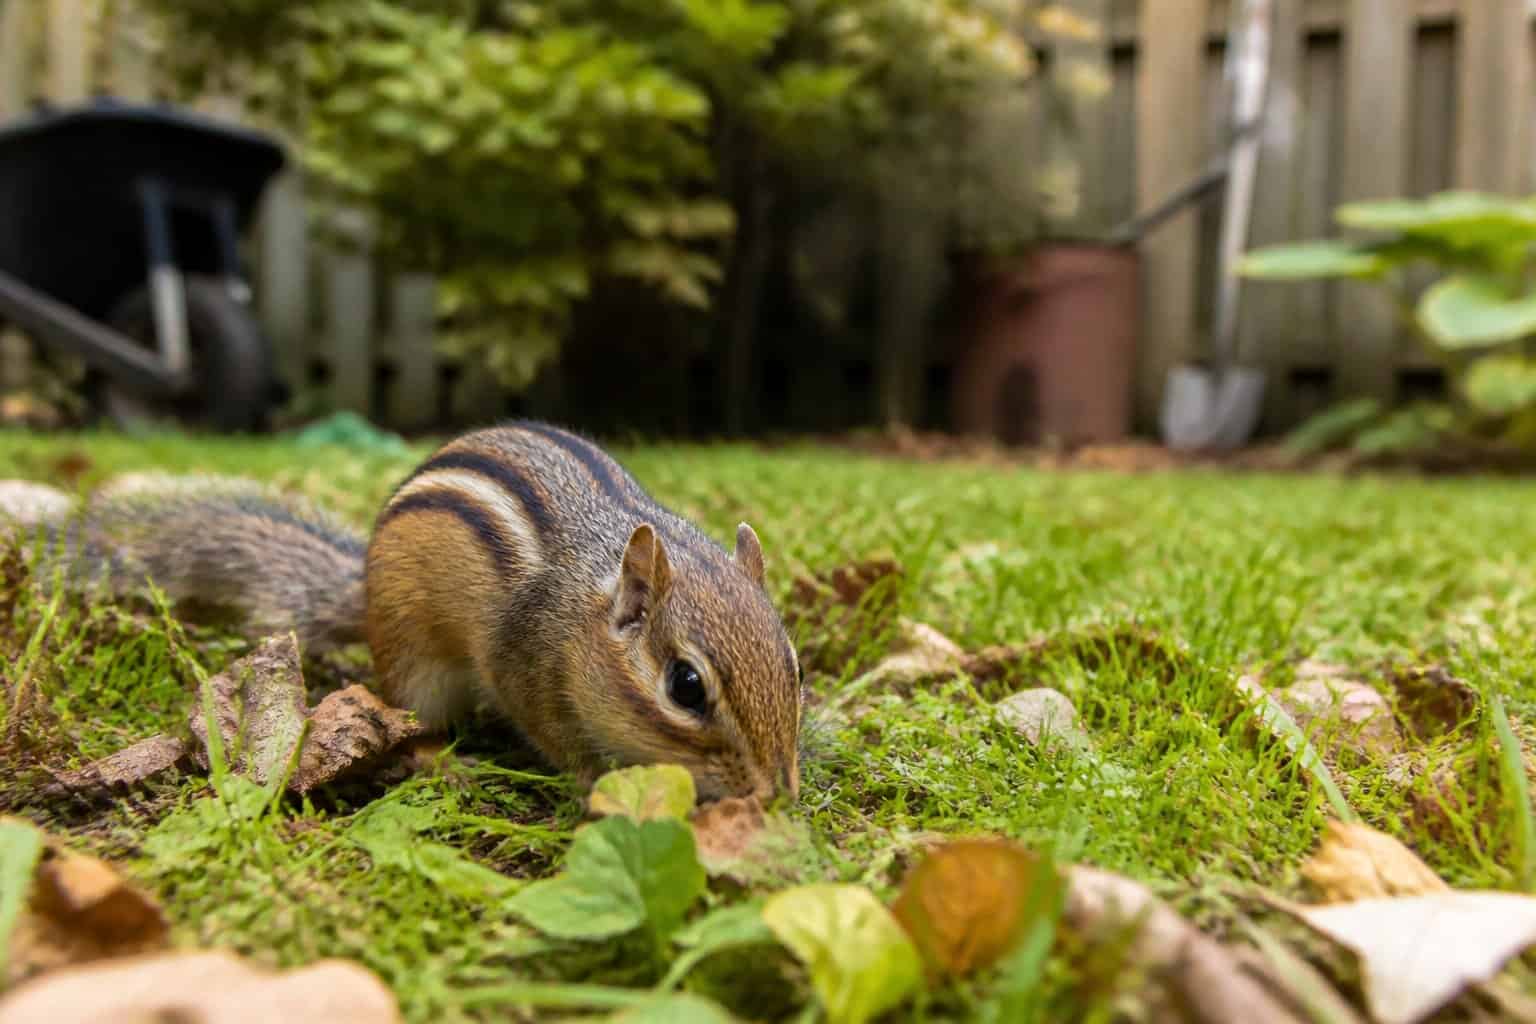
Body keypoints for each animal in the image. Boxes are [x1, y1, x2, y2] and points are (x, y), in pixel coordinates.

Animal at [27, 421, 802, 802]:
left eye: (795, 667)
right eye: (686, 686)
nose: (776, 793)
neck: (582, 612)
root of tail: (362, 591)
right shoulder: (524, 672)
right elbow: (559, 743)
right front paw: (596, 782)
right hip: (416, 662)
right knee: (408, 716)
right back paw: (442, 762)